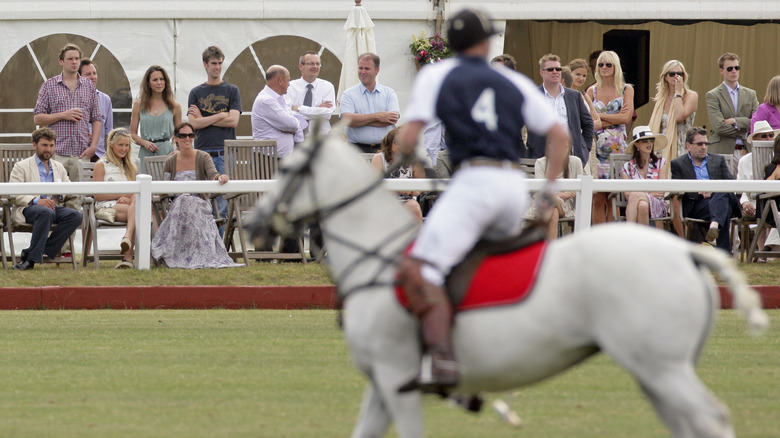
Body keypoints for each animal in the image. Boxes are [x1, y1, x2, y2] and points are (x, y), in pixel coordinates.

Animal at [248, 126, 768, 438]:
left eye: (289, 169)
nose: (253, 223)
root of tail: (683, 250)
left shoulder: (397, 376)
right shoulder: (381, 383)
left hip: (663, 367)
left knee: (711, 418)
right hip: (656, 370)